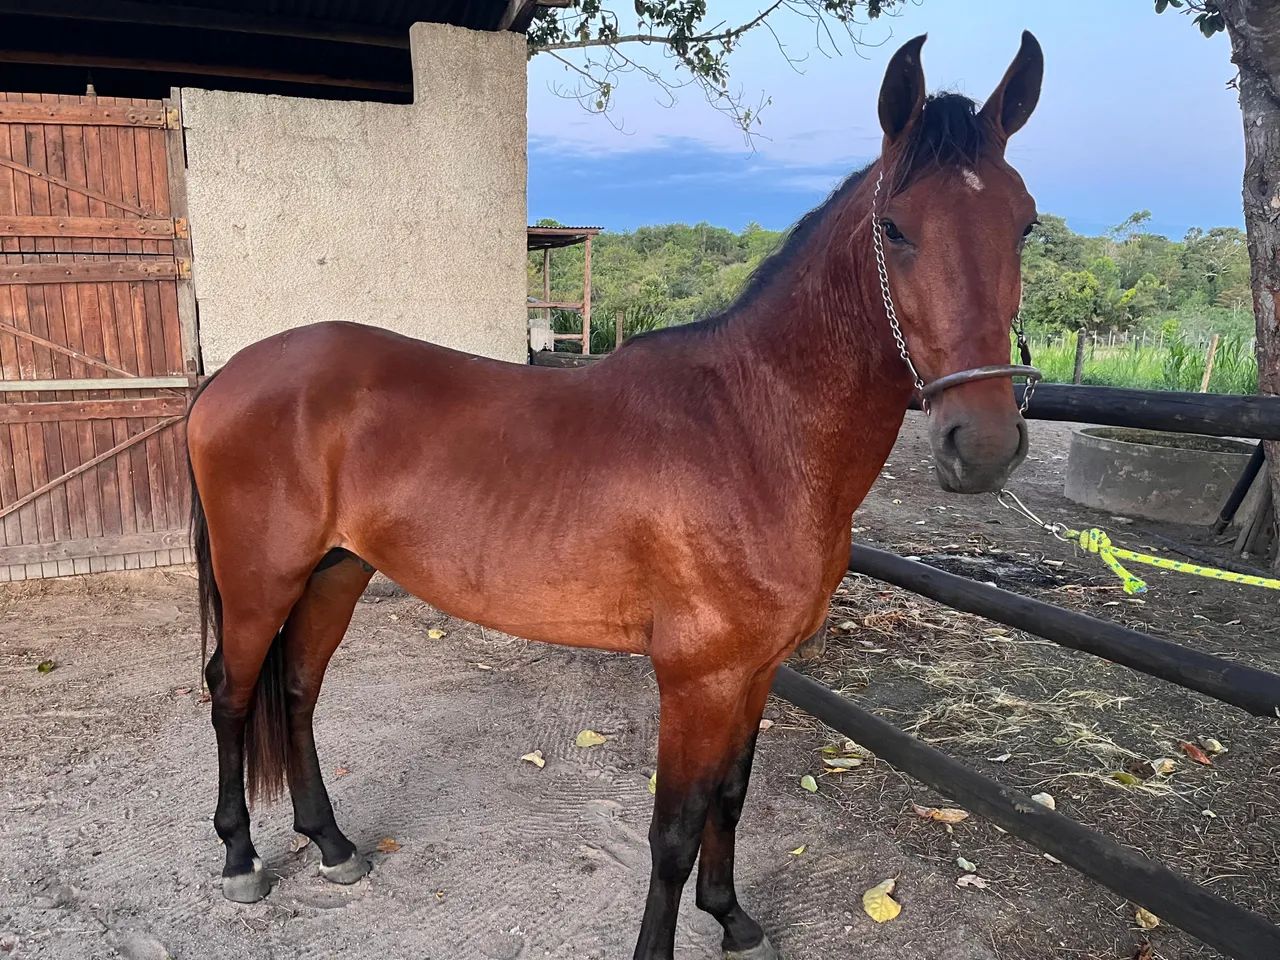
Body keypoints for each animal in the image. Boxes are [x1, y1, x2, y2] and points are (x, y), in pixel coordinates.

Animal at [186, 32, 1044, 960]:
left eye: (1025, 222)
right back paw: (240, 859)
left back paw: (333, 843)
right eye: (895, 227)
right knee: (231, 693)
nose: (982, 445)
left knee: (298, 692)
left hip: (335, 571)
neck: (753, 429)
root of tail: (230, 375)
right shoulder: (696, 677)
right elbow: (673, 828)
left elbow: (730, 797)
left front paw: (733, 918)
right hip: (261, 580)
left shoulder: (755, 672)